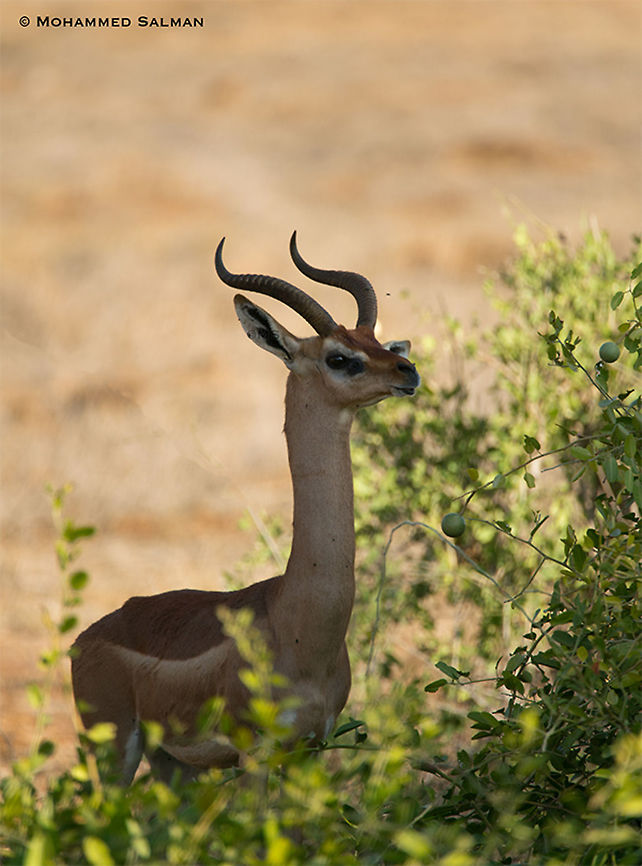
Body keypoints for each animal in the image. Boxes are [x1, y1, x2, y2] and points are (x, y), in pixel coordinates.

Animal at [71, 233, 420, 783]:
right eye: (340, 358)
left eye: (378, 343)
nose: (408, 371)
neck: (295, 623)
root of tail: (87, 637)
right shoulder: (256, 754)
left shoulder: (309, 750)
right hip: (116, 753)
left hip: (174, 765)